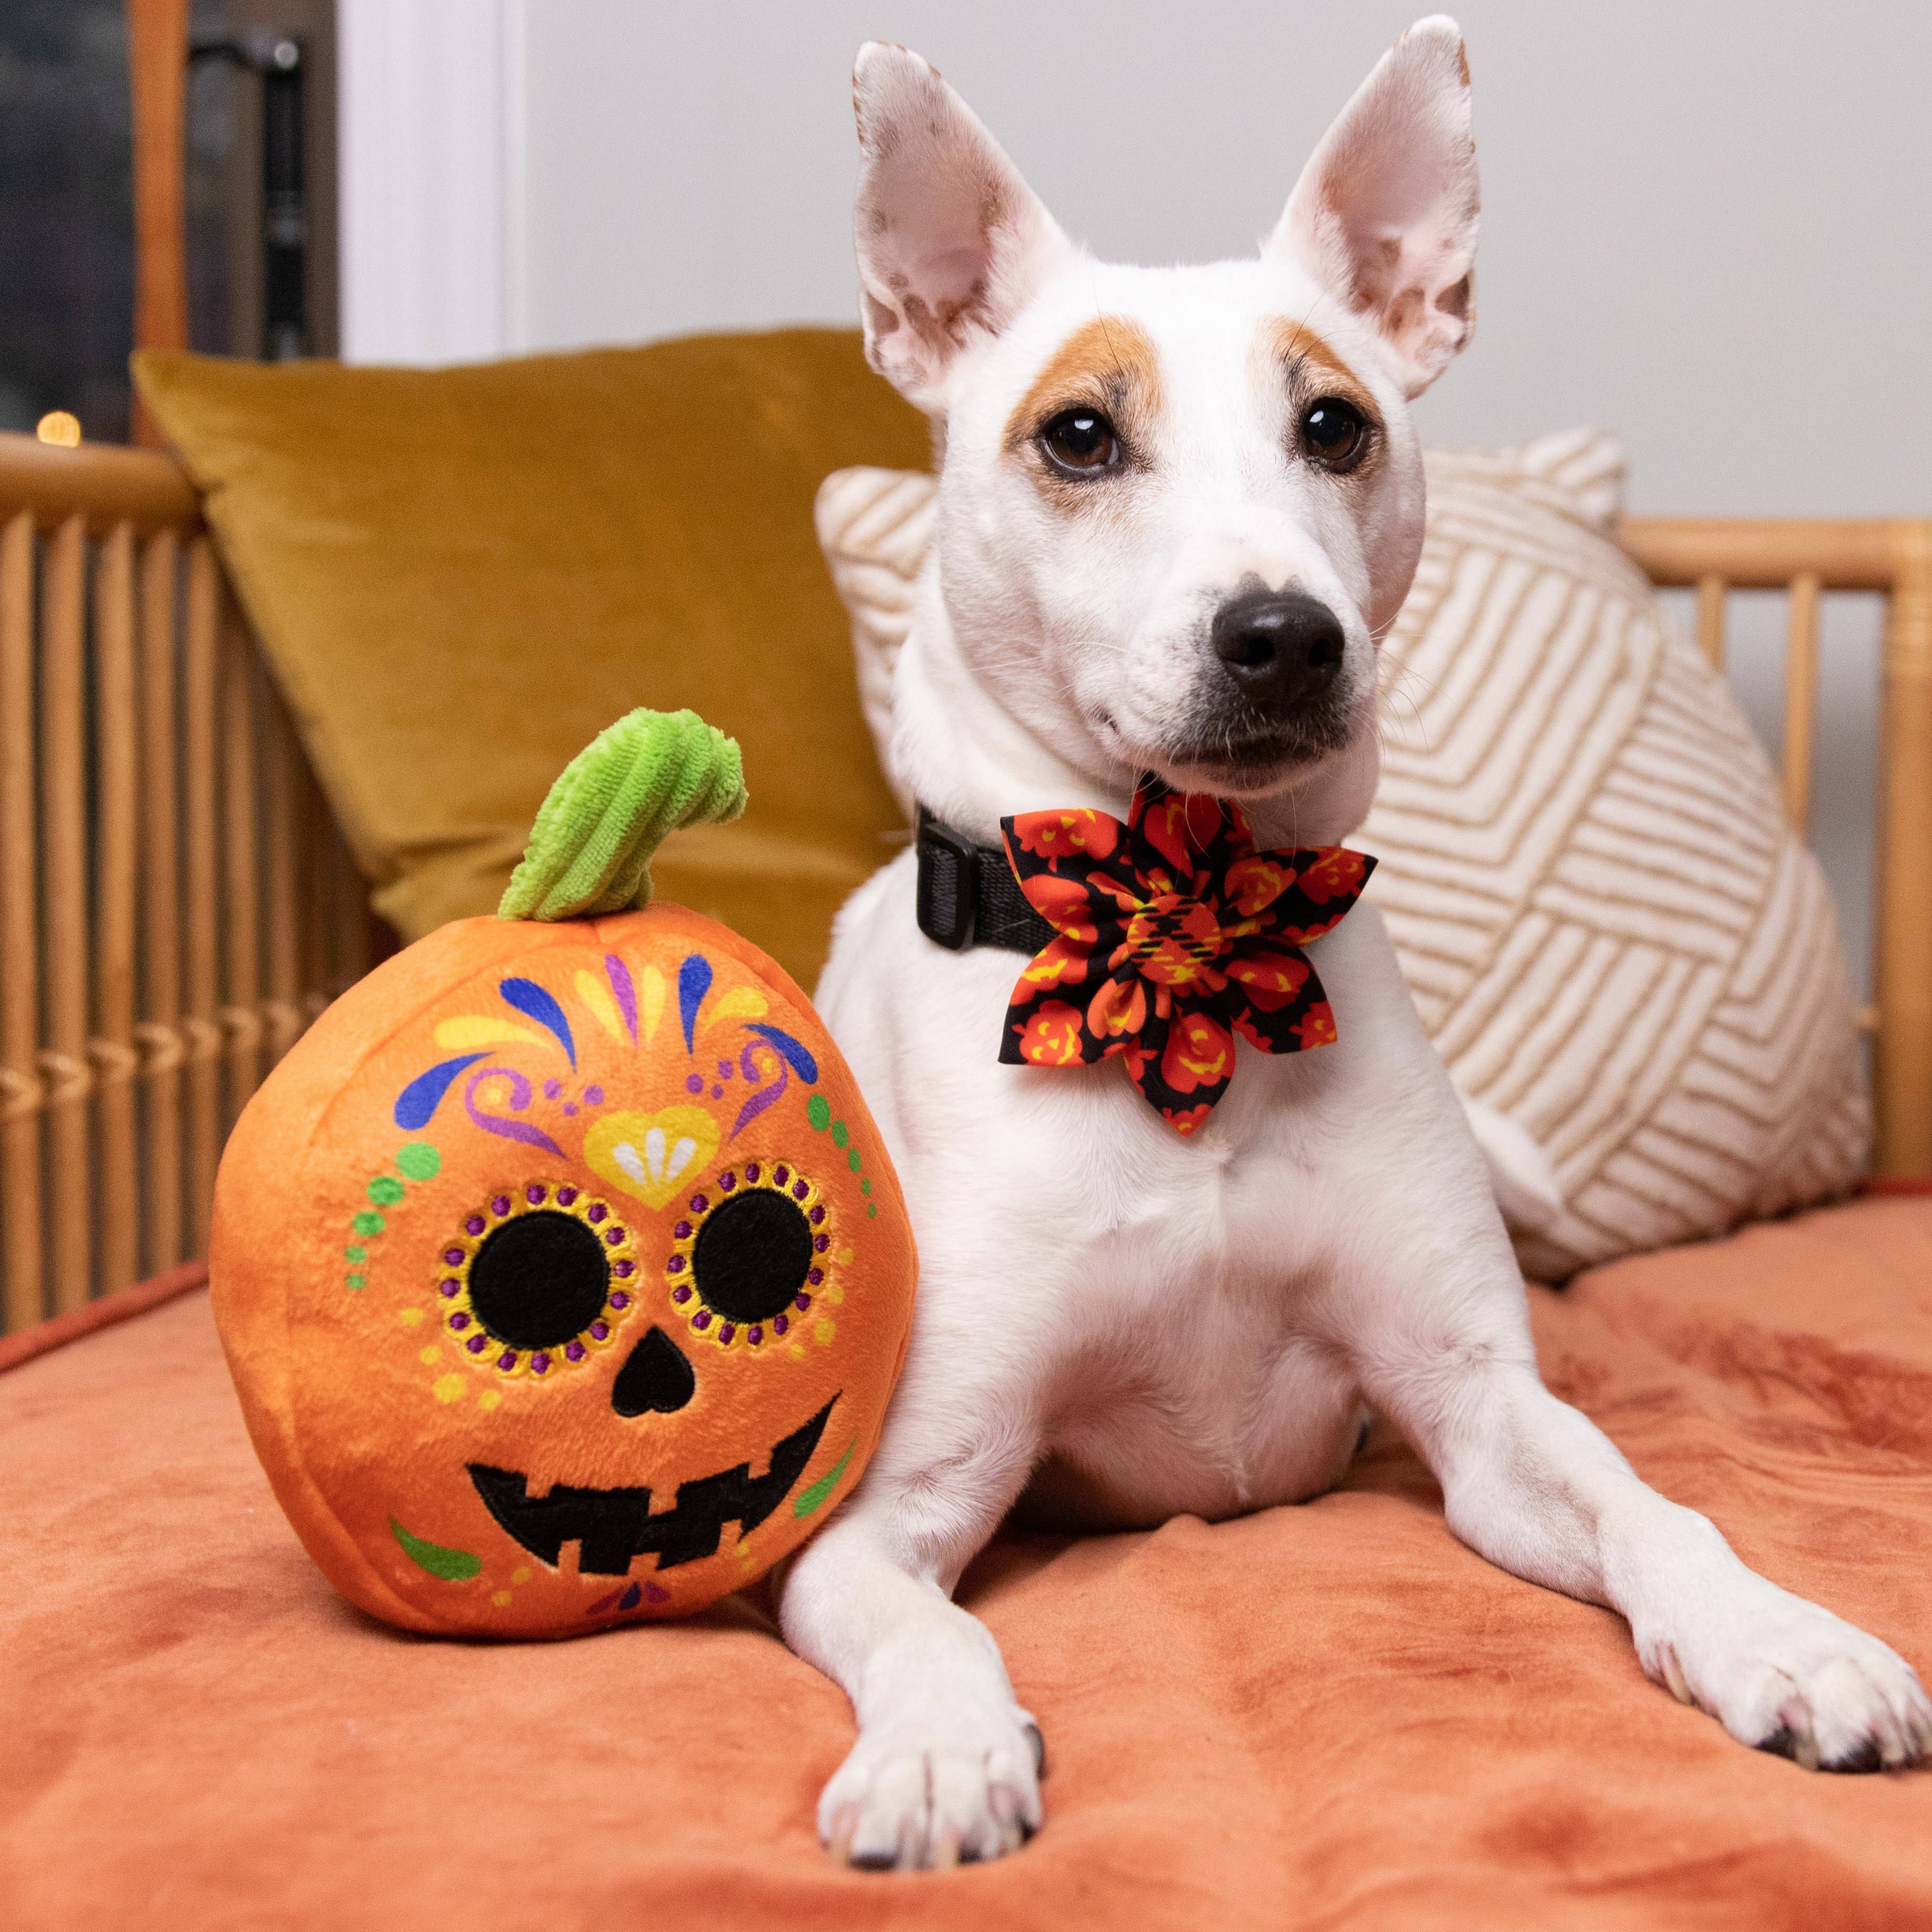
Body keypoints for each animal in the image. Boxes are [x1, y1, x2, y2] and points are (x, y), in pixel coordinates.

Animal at [772, 18, 1932, 1870]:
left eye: (1333, 424)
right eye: (1078, 436)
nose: (1281, 634)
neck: (1188, 940)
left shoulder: (1482, 1418)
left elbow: (1652, 1507)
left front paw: (1782, 1633)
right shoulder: (894, 1498)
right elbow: (923, 1619)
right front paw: (943, 1749)